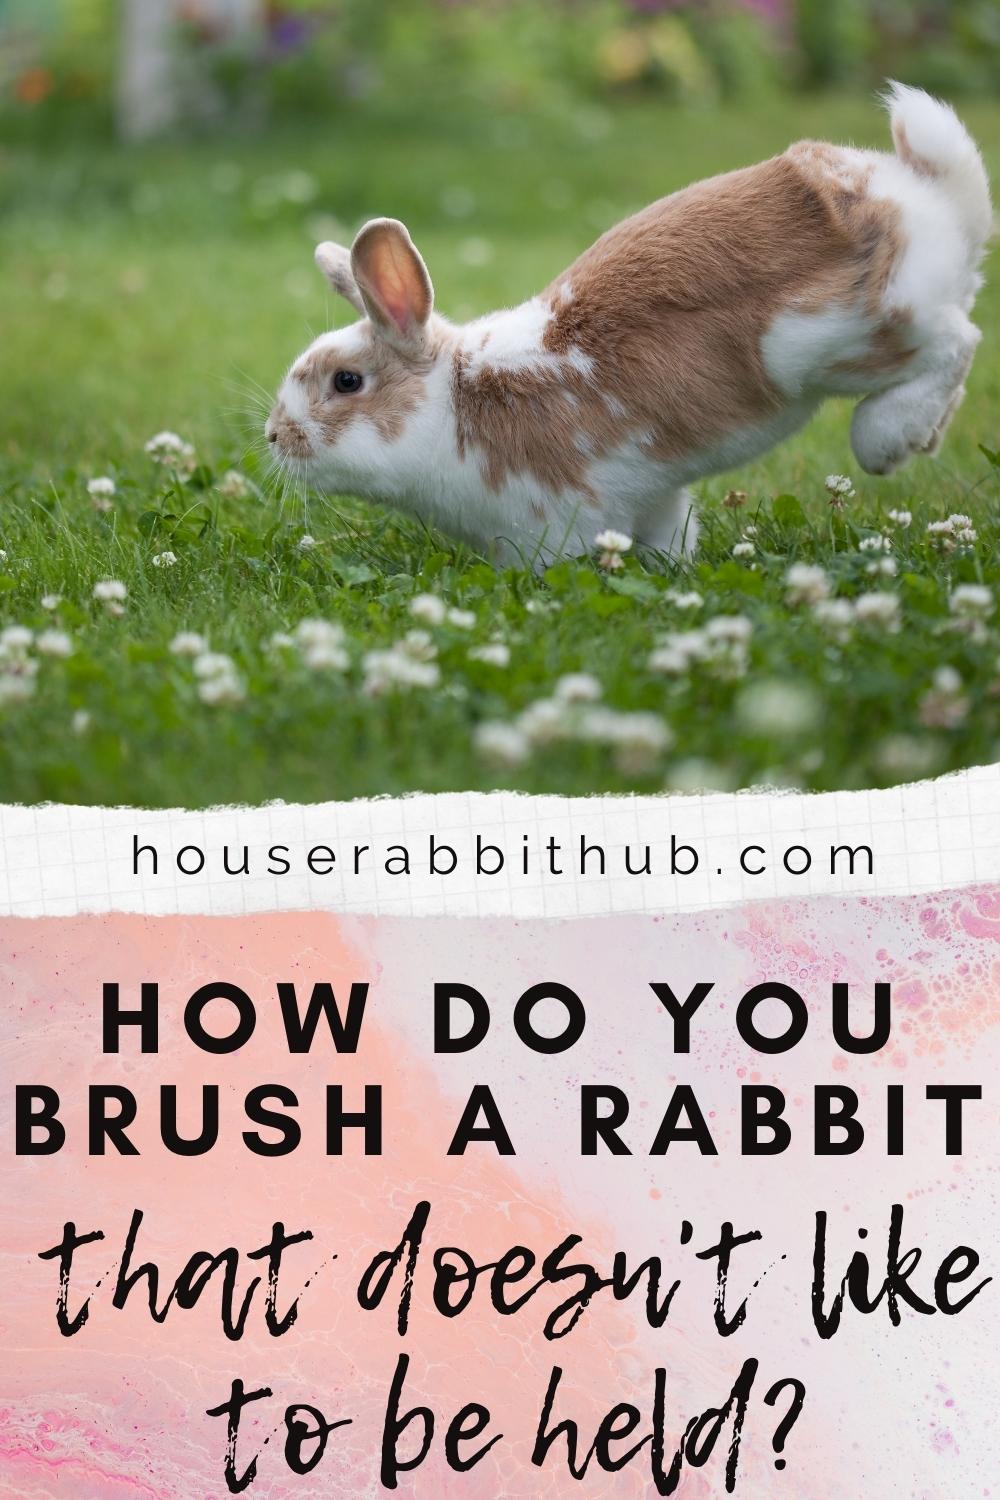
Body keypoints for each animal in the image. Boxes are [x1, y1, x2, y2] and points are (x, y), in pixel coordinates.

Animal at [266, 83, 991, 567]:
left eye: (347, 382)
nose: (274, 436)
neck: (454, 400)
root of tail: (929, 197)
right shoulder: (653, 497)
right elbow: (670, 534)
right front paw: (674, 571)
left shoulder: (553, 521)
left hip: (840, 339)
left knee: (958, 342)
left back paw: (887, 440)